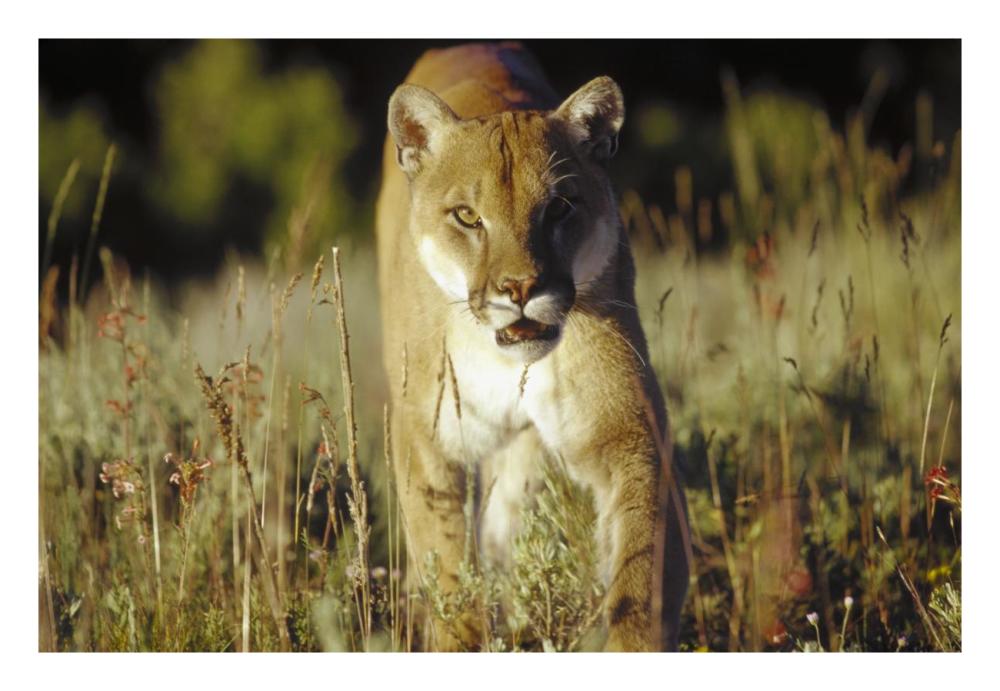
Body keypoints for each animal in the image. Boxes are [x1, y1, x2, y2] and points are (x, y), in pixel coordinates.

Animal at [375, 42, 689, 651]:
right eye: (468, 216)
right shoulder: (425, 437)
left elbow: (641, 573)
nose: (520, 289)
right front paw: (463, 637)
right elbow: (449, 571)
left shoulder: (630, 433)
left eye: (560, 207)